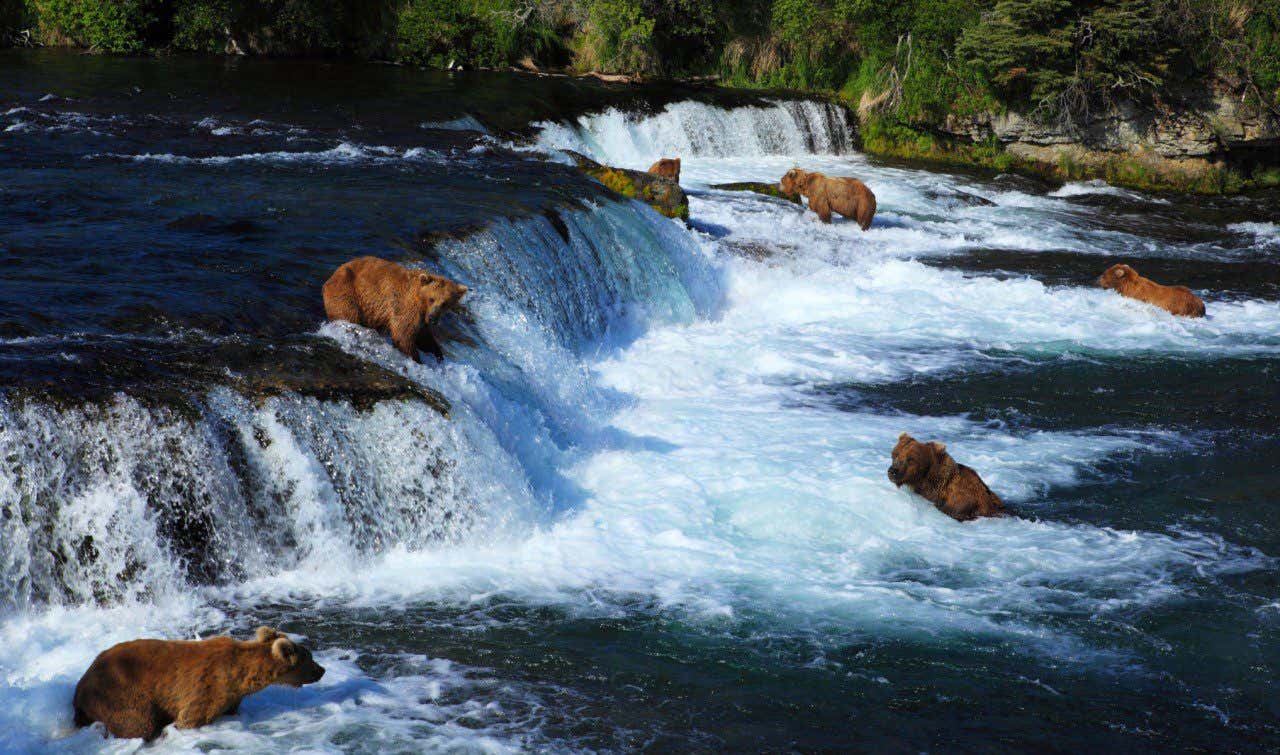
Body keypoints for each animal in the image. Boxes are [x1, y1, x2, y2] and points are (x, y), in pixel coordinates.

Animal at [73, 627, 325, 742]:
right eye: (310, 658)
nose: (322, 670)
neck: (242, 675)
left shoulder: (233, 696)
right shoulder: (209, 686)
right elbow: (191, 717)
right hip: (118, 691)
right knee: (138, 723)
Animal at [325, 257, 471, 363]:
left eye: (445, 303)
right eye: (431, 299)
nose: (433, 318)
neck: (421, 301)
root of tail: (331, 277)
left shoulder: (421, 318)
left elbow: (424, 336)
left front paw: (438, 354)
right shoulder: (406, 306)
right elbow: (403, 334)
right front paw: (416, 359)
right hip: (347, 293)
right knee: (348, 315)